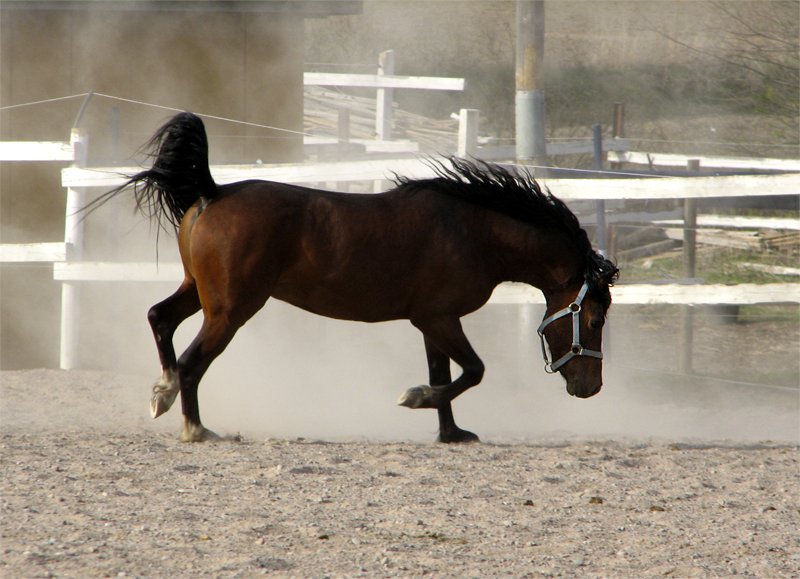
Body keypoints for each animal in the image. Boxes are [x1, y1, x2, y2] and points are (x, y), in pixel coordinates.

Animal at [90, 111, 620, 442]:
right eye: (595, 321)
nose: (591, 388)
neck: (472, 230)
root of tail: (212, 192)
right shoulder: (441, 320)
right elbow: (472, 371)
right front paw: (414, 398)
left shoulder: (432, 322)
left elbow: (446, 374)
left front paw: (450, 432)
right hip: (230, 310)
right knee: (192, 362)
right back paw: (196, 428)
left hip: (200, 293)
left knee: (160, 319)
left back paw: (161, 393)